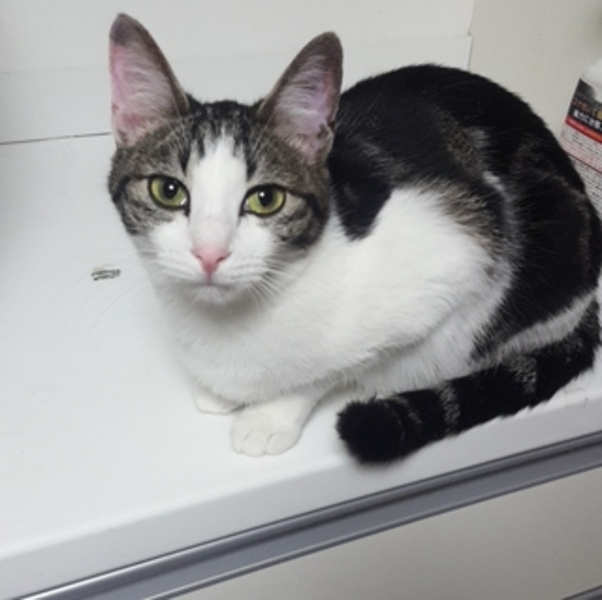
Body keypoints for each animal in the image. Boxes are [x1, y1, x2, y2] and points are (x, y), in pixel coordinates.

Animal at [108, 13, 601, 463]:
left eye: (266, 199)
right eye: (168, 190)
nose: (209, 254)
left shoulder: (462, 250)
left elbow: (338, 366)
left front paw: (270, 415)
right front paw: (225, 395)